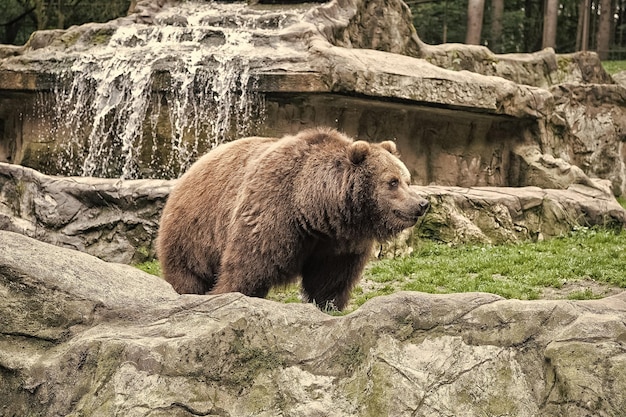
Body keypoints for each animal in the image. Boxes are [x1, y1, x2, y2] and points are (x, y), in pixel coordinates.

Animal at [156, 127, 428, 308]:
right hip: (194, 231)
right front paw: (226, 295)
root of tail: (192, 168)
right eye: (392, 182)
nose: (421, 204)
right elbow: (246, 268)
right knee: (187, 274)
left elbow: (331, 278)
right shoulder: (272, 211)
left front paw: (329, 305)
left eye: (407, 179)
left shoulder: (338, 242)